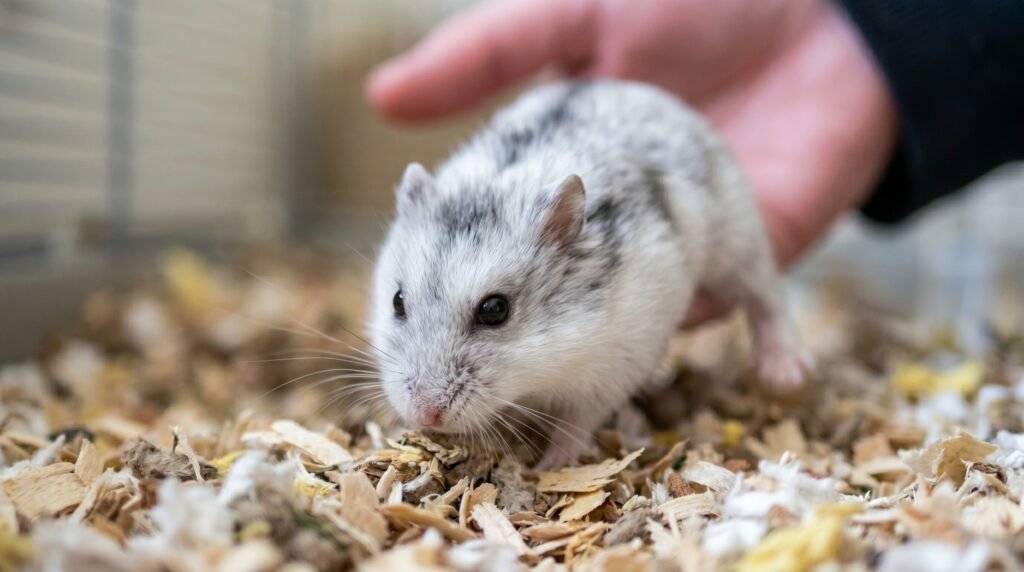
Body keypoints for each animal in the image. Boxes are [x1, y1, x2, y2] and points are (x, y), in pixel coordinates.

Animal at [370, 80, 811, 468]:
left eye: (495, 310)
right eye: (397, 302)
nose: (425, 415)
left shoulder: (612, 368)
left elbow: (577, 423)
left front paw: (550, 465)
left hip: (739, 245)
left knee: (768, 295)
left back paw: (785, 375)